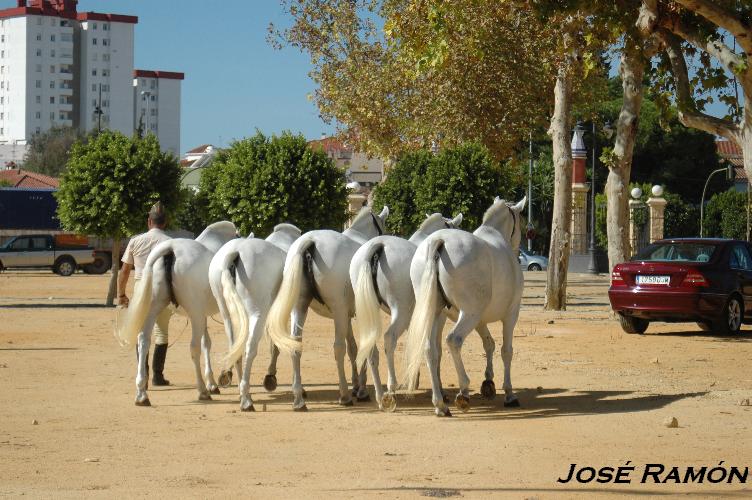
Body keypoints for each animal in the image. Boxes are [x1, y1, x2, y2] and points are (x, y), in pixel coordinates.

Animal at [114, 222, 236, 406]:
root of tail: (170, 249)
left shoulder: (202, 315)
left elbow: (206, 343)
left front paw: (212, 383)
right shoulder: (203, 314)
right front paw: (216, 381)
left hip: (156, 309)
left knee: (143, 340)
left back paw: (142, 394)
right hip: (194, 314)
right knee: (193, 347)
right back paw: (202, 391)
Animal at [209, 223, 302, 410]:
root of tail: (235, 252)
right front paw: (272, 378)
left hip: (227, 314)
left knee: (235, 347)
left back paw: (242, 392)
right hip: (257, 314)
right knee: (249, 348)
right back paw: (246, 400)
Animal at [266, 206, 388, 410]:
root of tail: (310, 242)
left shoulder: (347, 315)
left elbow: (353, 347)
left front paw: (357, 385)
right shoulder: (355, 312)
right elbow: (359, 347)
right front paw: (361, 389)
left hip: (300, 306)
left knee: (295, 344)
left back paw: (298, 398)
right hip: (337, 309)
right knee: (338, 348)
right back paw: (344, 395)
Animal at [348, 211, 462, 410]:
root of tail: (379, 245)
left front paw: (414, 380)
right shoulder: (436, 318)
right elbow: (435, 349)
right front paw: (439, 391)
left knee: (371, 348)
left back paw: (380, 395)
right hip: (400, 311)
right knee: (389, 338)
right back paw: (391, 387)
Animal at [402, 197, 524, 416]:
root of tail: (439, 241)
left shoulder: (480, 319)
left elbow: (489, 344)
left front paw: (488, 382)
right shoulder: (510, 314)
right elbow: (506, 351)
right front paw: (509, 393)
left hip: (438, 314)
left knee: (430, 349)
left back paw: (440, 404)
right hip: (468, 315)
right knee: (453, 340)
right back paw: (463, 391)